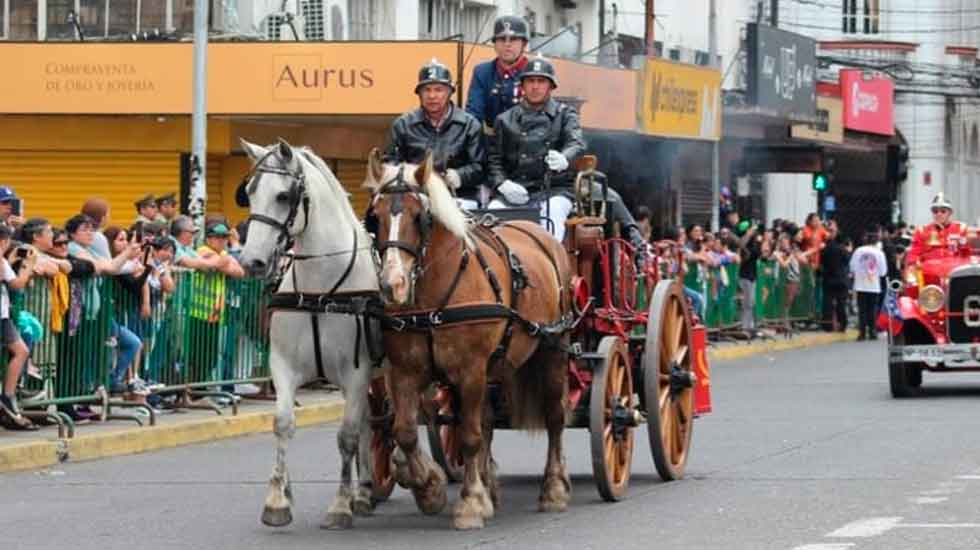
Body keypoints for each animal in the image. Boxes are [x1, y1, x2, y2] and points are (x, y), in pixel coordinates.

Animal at [235, 138, 380, 532]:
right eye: (249, 192)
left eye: (284, 195)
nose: (252, 262)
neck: (321, 291)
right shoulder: (283, 365)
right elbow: (283, 424)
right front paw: (277, 500)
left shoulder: (357, 373)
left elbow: (346, 436)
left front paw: (340, 505)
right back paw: (366, 491)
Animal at [364, 150, 572, 532]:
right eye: (375, 216)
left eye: (420, 216)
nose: (392, 285)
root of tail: (540, 233)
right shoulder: (404, 372)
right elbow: (405, 430)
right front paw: (430, 488)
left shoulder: (470, 370)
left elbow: (470, 436)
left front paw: (471, 503)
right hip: (500, 363)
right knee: (486, 419)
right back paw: (490, 485)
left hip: (552, 349)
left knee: (554, 417)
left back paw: (553, 488)